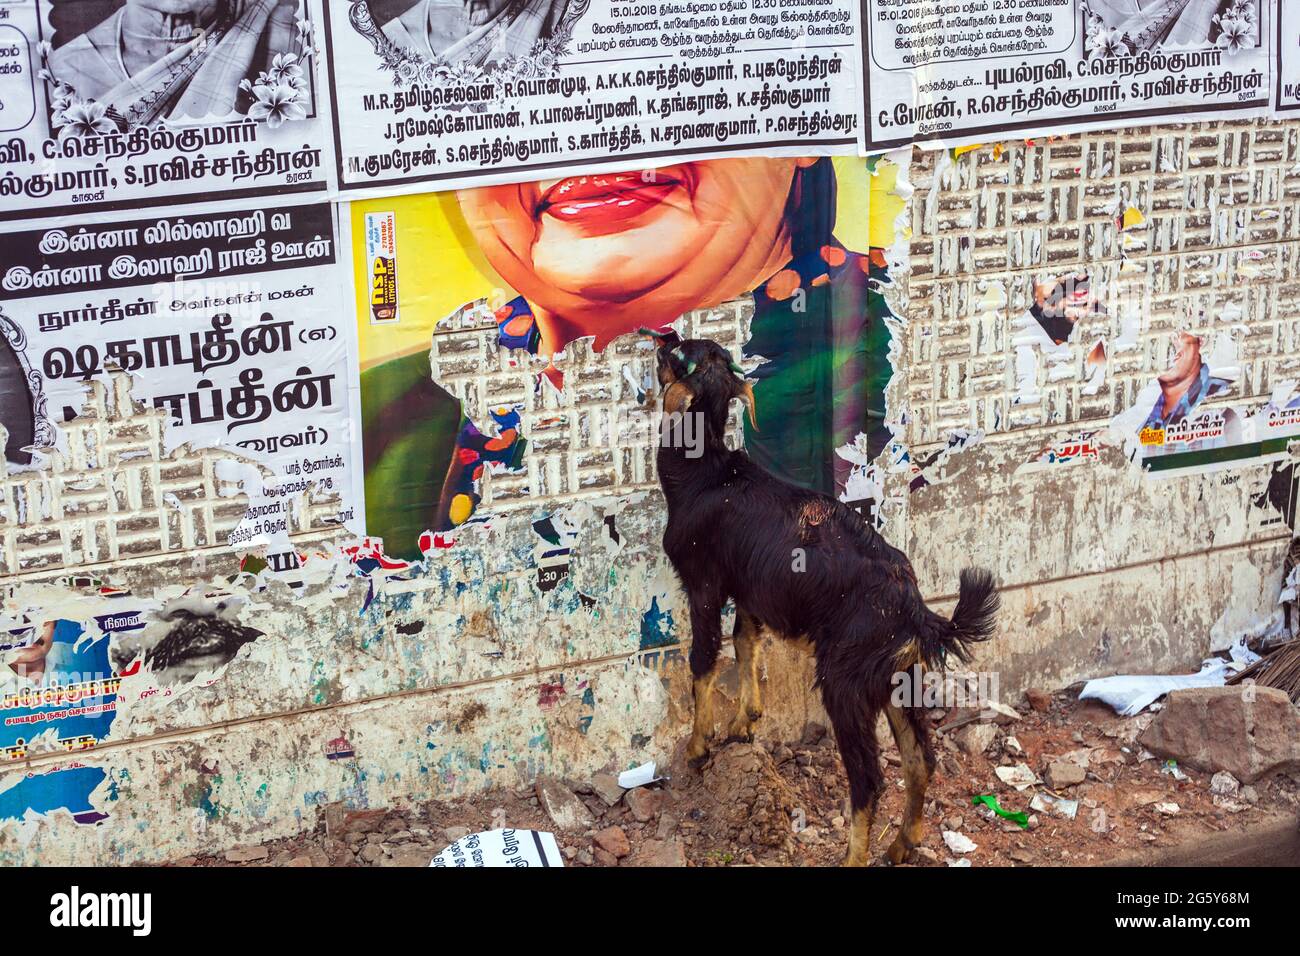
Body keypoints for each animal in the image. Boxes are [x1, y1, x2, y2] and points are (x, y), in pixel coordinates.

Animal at [655, 335, 998, 868]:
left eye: (681, 358)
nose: (661, 340)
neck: (704, 473)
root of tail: (916, 610)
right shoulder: (750, 588)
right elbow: (747, 643)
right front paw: (744, 723)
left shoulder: (705, 584)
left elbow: (704, 659)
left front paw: (697, 748)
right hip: (898, 679)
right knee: (920, 759)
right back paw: (902, 842)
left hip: (844, 683)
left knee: (869, 781)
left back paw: (857, 855)